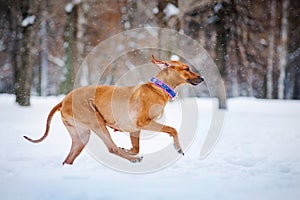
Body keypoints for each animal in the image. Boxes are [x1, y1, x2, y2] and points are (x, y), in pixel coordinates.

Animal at [24, 54, 204, 164]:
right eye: (187, 69)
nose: (202, 78)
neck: (158, 88)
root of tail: (63, 100)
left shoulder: (135, 129)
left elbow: (136, 147)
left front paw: (128, 149)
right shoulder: (144, 122)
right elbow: (173, 129)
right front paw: (178, 147)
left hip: (81, 135)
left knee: (69, 158)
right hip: (96, 121)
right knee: (111, 147)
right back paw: (133, 160)